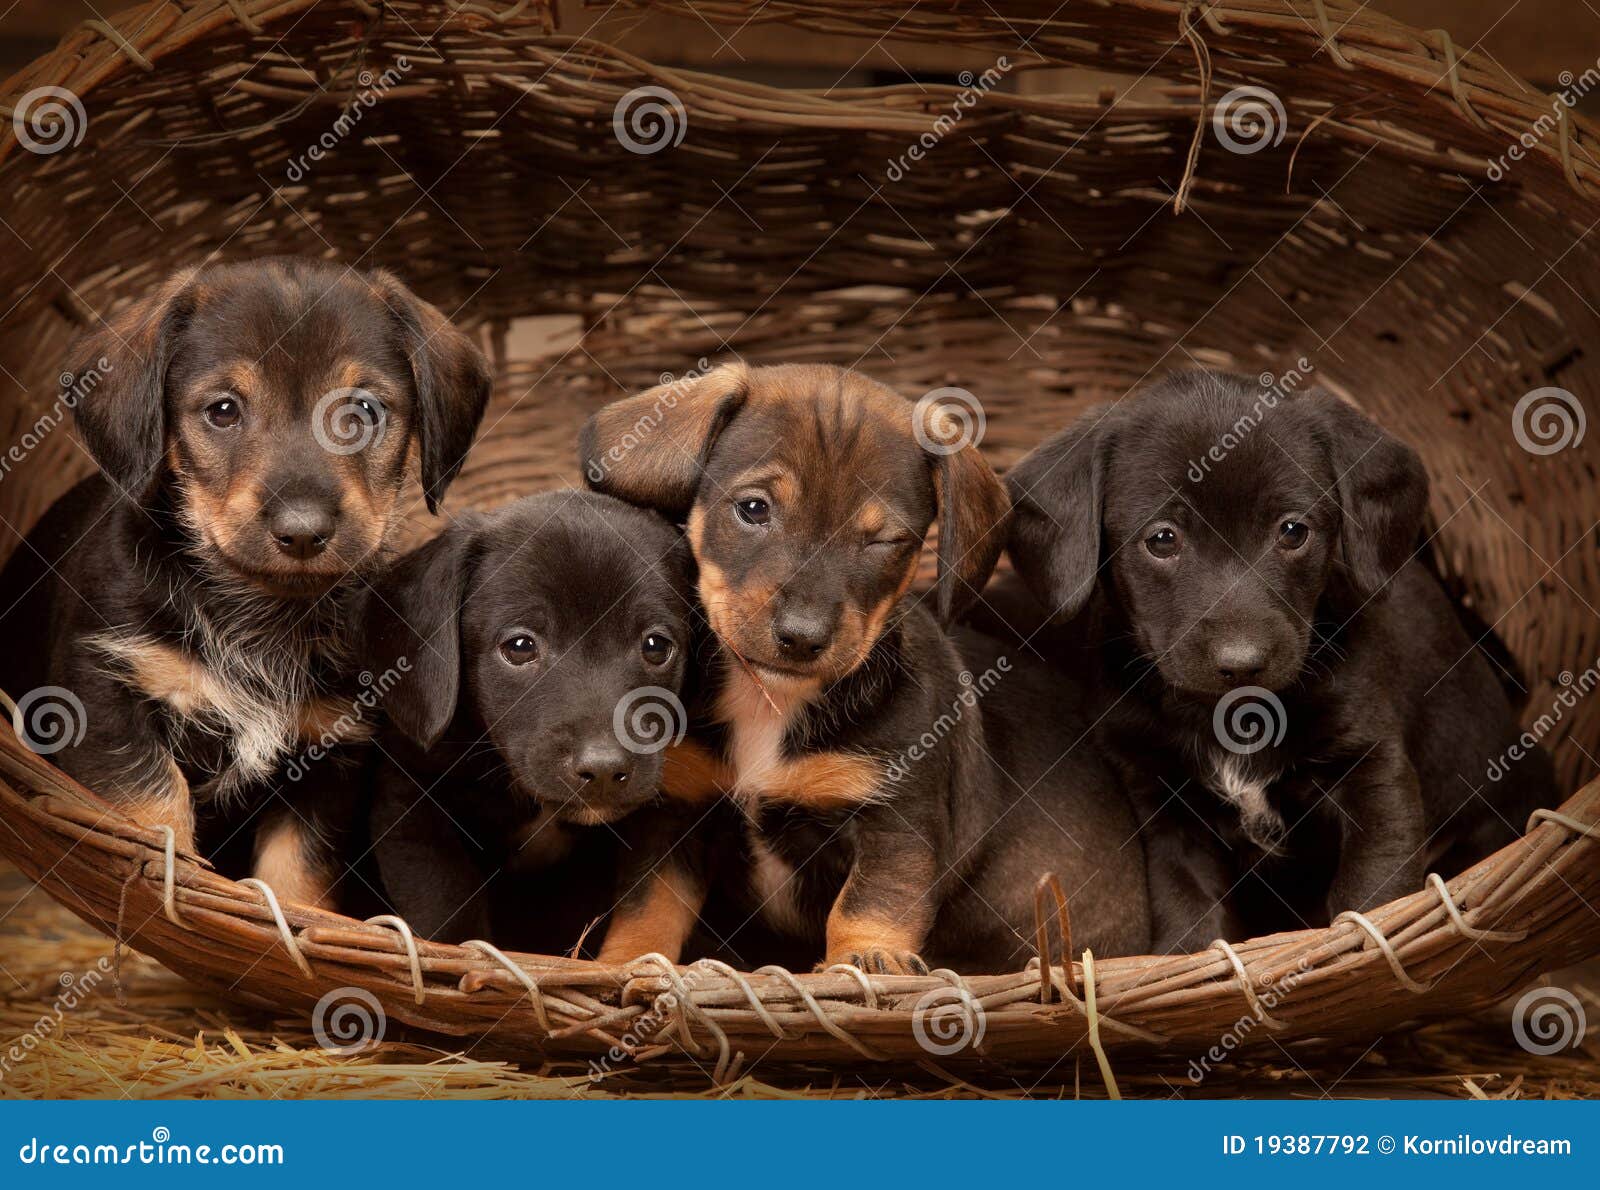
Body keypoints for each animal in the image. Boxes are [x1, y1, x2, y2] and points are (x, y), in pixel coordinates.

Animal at [0, 252, 489, 902]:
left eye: (362, 411)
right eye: (223, 410)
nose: (303, 532)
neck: (259, 613)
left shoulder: (328, 754)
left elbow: (296, 874)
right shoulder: (102, 701)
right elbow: (156, 810)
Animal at [585, 364, 1152, 978]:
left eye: (884, 540)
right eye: (754, 508)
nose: (801, 637)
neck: (771, 703)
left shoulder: (894, 820)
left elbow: (868, 902)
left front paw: (867, 959)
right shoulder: (678, 813)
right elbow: (650, 905)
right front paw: (623, 964)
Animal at [1004, 367, 1555, 953]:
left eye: (1293, 530)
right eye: (1162, 539)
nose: (1241, 662)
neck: (1230, 719)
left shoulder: (1373, 770)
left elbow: (1375, 890)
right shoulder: (1166, 809)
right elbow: (1188, 910)